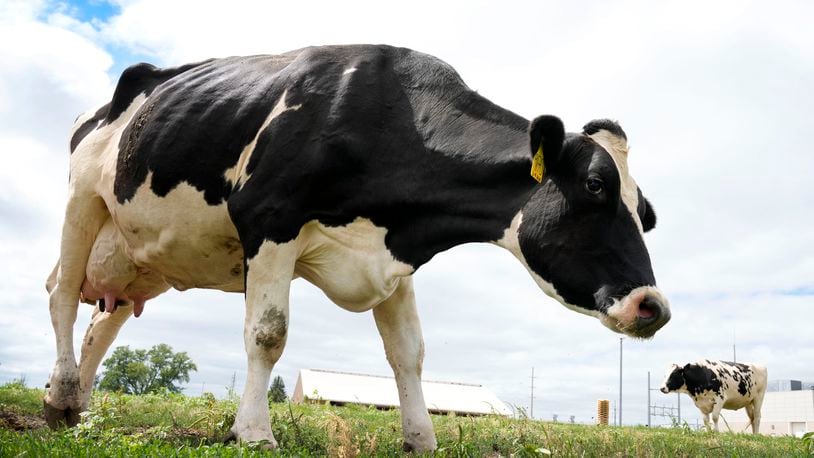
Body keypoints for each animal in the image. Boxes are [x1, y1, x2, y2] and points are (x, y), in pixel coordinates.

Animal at [43, 43, 668, 450]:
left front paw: (421, 438)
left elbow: (409, 353)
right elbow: (268, 334)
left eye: (646, 212)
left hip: (137, 252)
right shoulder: (269, 220)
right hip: (81, 201)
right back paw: (58, 400)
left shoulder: (393, 257)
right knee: (62, 296)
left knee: (103, 321)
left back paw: (80, 410)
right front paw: (254, 432)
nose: (653, 307)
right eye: (596, 185)